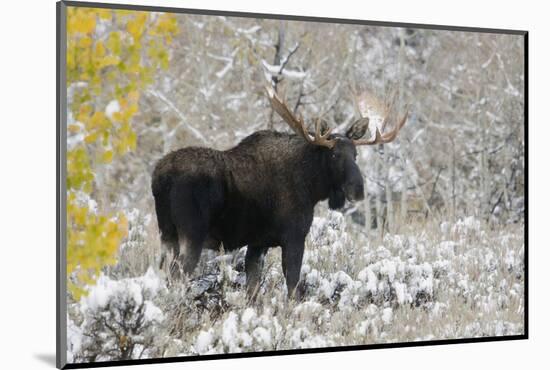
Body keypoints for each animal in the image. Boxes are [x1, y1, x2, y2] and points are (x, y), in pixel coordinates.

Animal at [152, 86, 410, 298]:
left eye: (355, 155)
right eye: (335, 155)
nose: (358, 189)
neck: (311, 187)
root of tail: (159, 177)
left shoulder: (258, 244)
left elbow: (253, 291)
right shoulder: (294, 236)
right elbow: (293, 288)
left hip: (167, 235)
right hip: (191, 235)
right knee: (175, 277)